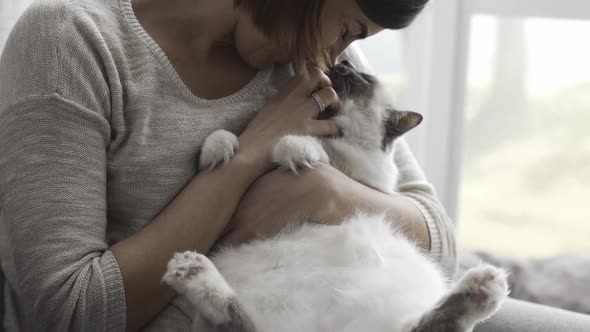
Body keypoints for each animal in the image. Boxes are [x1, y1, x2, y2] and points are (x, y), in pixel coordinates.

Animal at [162, 60, 508, 332]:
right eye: (343, 67)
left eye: (359, 80)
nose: (340, 64)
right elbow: (224, 142)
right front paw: (223, 150)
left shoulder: (362, 175)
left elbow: (319, 155)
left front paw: (293, 148)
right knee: (234, 320)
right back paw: (192, 272)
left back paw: (484, 287)